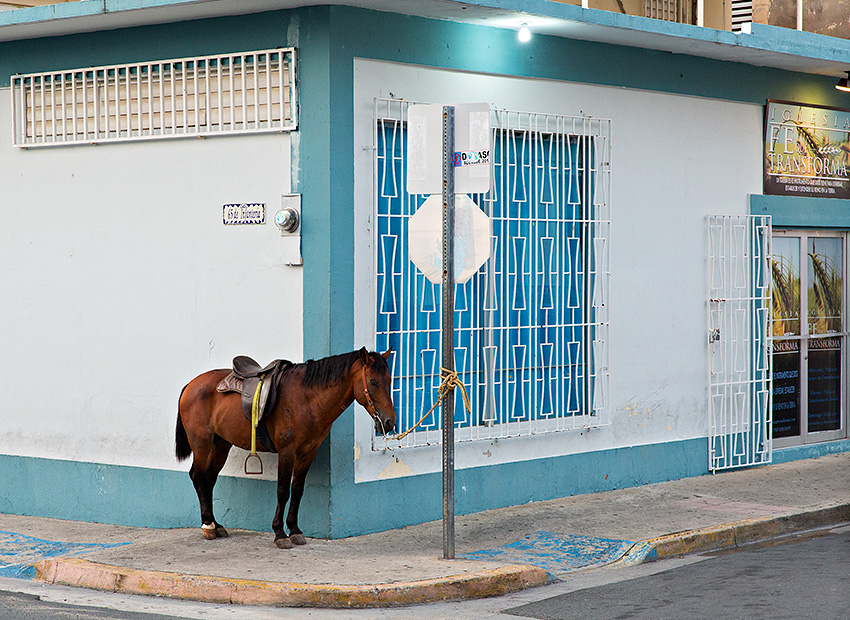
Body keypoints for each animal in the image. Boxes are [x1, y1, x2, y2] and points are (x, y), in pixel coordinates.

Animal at [175, 347, 395, 548]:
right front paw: (279, 533)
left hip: (221, 444)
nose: (389, 421)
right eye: (373, 382)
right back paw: (207, 525)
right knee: (198, 476)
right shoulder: (287, 452)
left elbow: (297, 490)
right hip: (202, 443)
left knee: (209, 479)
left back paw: (216, 524)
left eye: (389, 380)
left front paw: (295, 530)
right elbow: (282, 491)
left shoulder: (308, 453)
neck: (306, 399)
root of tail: (191, 384)